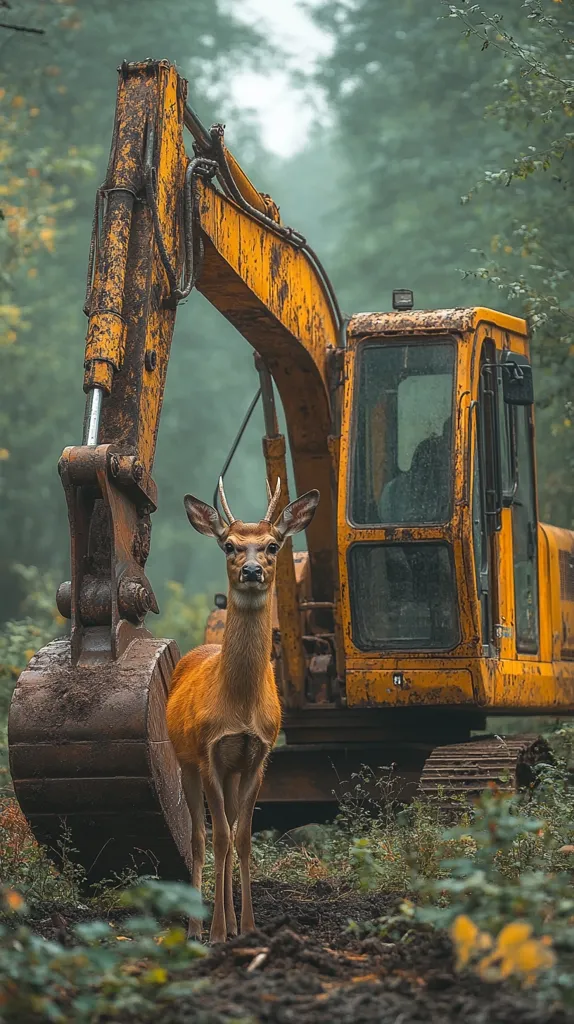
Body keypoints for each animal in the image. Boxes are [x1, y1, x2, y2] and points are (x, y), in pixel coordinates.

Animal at [166, 476, 320, 944]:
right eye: (229, 545)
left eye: (272, 544)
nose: (252, 571)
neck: (239, 708)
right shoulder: (208, 753)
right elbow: (217, 839)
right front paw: (216, 933)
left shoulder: (258, 754)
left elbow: (245, 837)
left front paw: (249, 927)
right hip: (185, 761)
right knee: (199, 839)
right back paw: (197, 926)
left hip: (233, 770)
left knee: (231, 832)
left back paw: (232, 922)